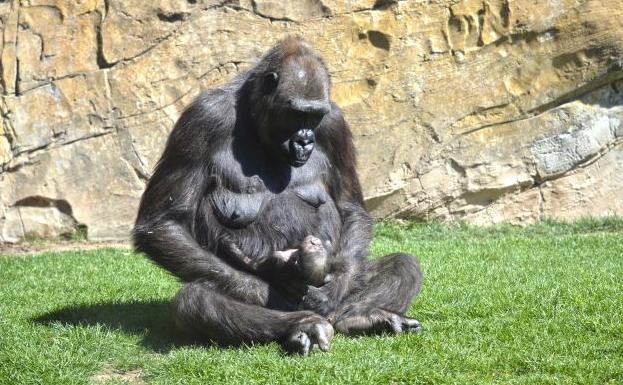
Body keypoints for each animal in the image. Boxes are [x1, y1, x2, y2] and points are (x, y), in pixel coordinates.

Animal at [133, 36, 422, 354]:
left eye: (315, 115)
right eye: (297, 114)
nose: (305, 140)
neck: (252, 115)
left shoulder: (335, 124)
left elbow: (350, 208)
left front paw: (331, 289)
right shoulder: (203, 118)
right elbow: (164, 222)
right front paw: (272, 286)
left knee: (402, 265)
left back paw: (360, 316)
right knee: (195, 300)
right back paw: (301, 324)